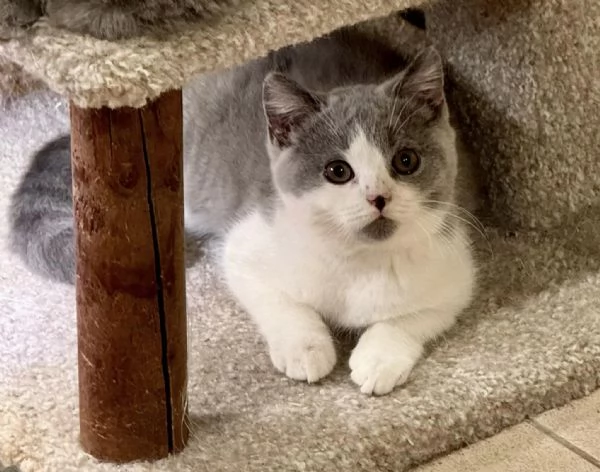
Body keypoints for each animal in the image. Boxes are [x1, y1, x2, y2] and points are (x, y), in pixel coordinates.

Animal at [8, 23, 478, 394]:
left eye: (406, 161)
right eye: (337, 171)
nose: (378, 197)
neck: (361, 263)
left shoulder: (454, 267)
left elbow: (416, 316)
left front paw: (379, 358)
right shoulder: (247, 245)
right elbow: (280, 302)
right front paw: (306, 347)